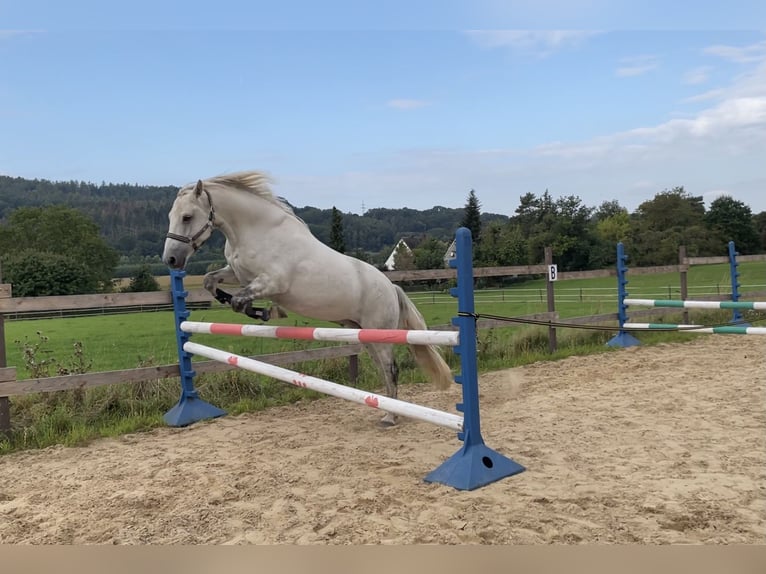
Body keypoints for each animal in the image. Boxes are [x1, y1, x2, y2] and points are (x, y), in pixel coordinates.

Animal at [161, 170, 454, 425]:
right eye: (171, 216)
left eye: (187, 217)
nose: (171, 260)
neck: (254, 231)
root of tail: (392, 287)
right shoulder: (237, 273)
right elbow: (211, 281)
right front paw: (255, 308)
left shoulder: (270, 282)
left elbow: (239, 301)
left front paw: (267, 312)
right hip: (364, 333)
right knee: (384, 369)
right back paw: (385, 409)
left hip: (378, 333)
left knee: (391, 369)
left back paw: (391, 417)